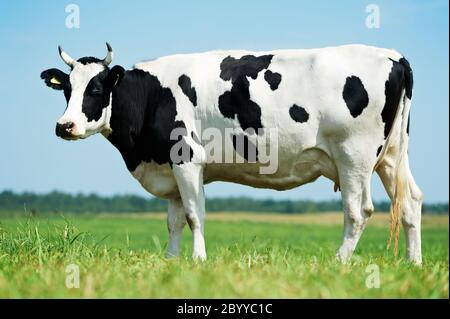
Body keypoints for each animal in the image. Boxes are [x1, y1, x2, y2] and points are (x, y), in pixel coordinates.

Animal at [40, 43, 424, 266]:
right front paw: (171, 261)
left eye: (96, 88)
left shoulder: (186, 157)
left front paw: (197, 260)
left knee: (359, 211)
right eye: (67, 90)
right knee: (410, 202)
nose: (64, 125)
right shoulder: (169, 165)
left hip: (353, 155)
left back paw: (338, 262)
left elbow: (194, 215)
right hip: (392, 155)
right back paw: (413, 263)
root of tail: (394, 56)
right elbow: (173, 220)